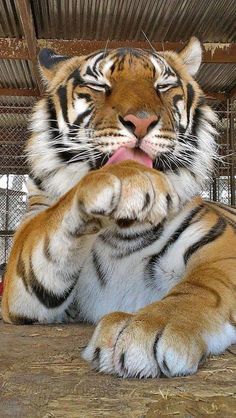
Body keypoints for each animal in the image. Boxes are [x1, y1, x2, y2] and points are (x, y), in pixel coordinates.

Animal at [1, 38, 236, 378]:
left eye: (162, 86)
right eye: (100, 85)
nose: (141, 122)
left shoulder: (220, 248)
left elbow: (201, 289)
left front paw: (144, 327)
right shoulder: (23, 282)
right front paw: (131, 176)